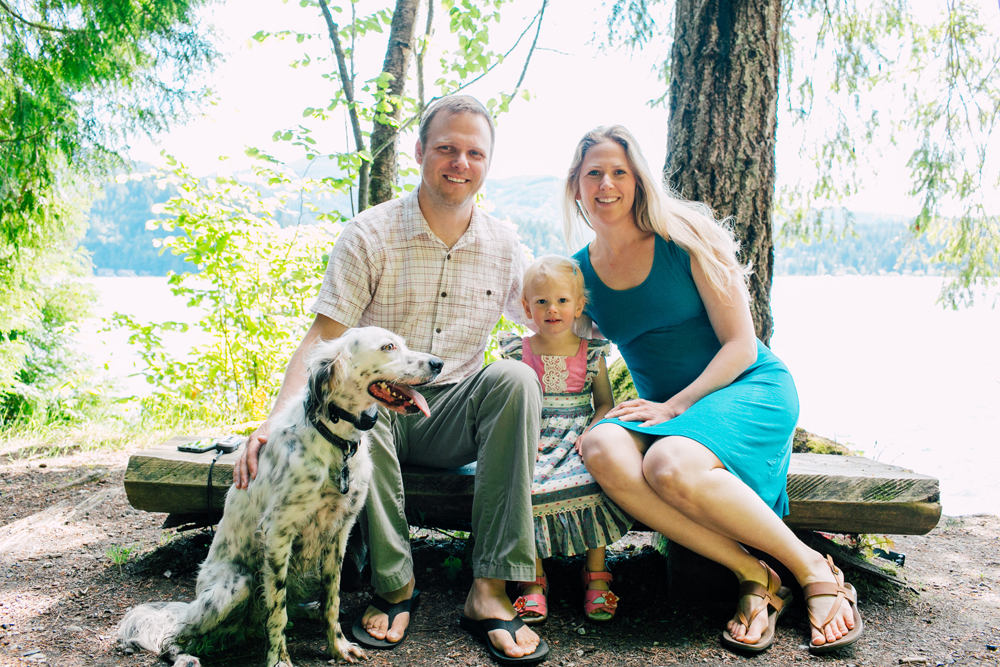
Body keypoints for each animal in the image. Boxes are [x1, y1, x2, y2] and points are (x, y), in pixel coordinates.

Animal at [117, 330, 442, 667]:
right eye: (388, 347)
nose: (439, 363)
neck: (336, 441)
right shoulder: (278, 533)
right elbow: (277, 611)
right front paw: (279, 660)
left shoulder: (339, 532)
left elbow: (332, 598)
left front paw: (337, 646)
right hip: (233, 587)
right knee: (177, 632)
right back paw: (183, 656)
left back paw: (308, 611)